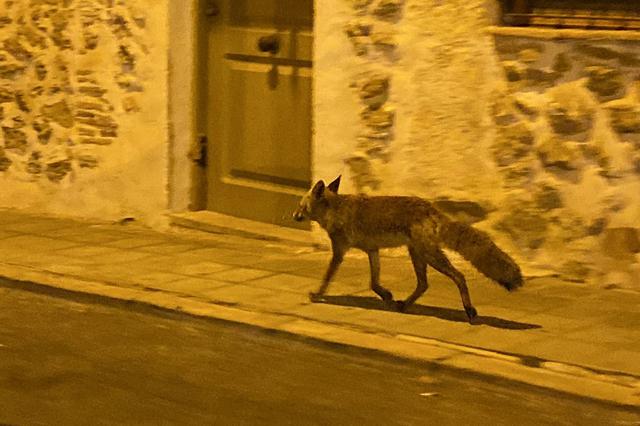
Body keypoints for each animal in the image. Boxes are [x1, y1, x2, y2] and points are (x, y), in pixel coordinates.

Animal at [292, 176, 524, 320]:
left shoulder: (339, 251)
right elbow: (373, 283)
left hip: (430, 256)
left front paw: (318, 294)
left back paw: (469, 311)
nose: (293, 215)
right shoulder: (372, 250)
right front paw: (386, 296)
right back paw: (403, 305)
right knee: (423, 284)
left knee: (458, 276)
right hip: (418, 255)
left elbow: (327, 278)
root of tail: (432, 209)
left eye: (301, 206)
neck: (334, 209)